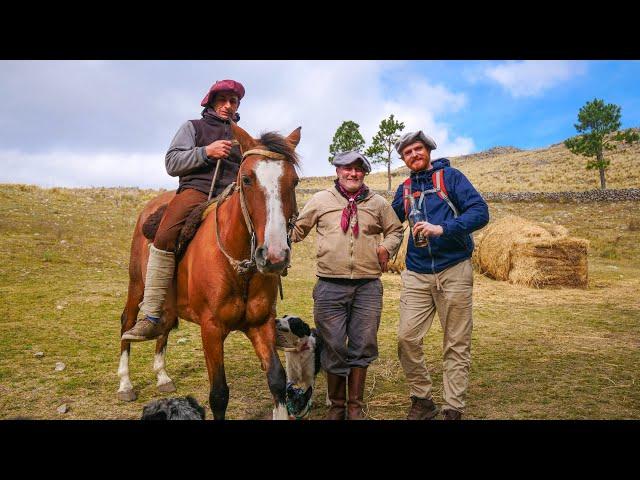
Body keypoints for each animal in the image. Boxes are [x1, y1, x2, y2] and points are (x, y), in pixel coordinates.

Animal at [118, 122, 302, 418]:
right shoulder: (212, 330)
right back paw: (125, 383)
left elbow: (276, 379)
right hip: (137, 285)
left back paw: (162, 376)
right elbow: (218, 394)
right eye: (247, 179)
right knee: (127, 322)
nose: (274, 256)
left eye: (294, 181)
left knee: (164, 325)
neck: (239, 269)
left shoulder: (261, 324)